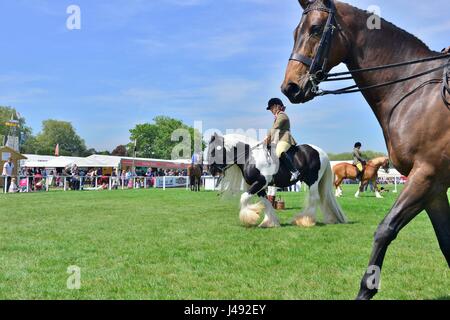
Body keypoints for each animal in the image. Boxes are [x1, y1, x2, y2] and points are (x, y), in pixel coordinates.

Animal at [207, 132, 348, 228]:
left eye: (214, 150)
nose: (211, 170)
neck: (251, 156)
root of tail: (321, 152)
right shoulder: (261, 187)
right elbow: (266, 202)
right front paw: (269, 222)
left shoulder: (260, 182)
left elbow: (244, 198)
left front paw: (250, 217)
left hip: (313, 181)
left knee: (314, 198)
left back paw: (305, 220)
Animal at [284, 0, 448, 300]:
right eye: (294, 33)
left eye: (315, 29)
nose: (289, 86)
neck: (413, 89)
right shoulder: (434, 185)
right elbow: (445, 242)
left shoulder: (427, 176)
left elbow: (385, 229)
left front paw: (366, 289)